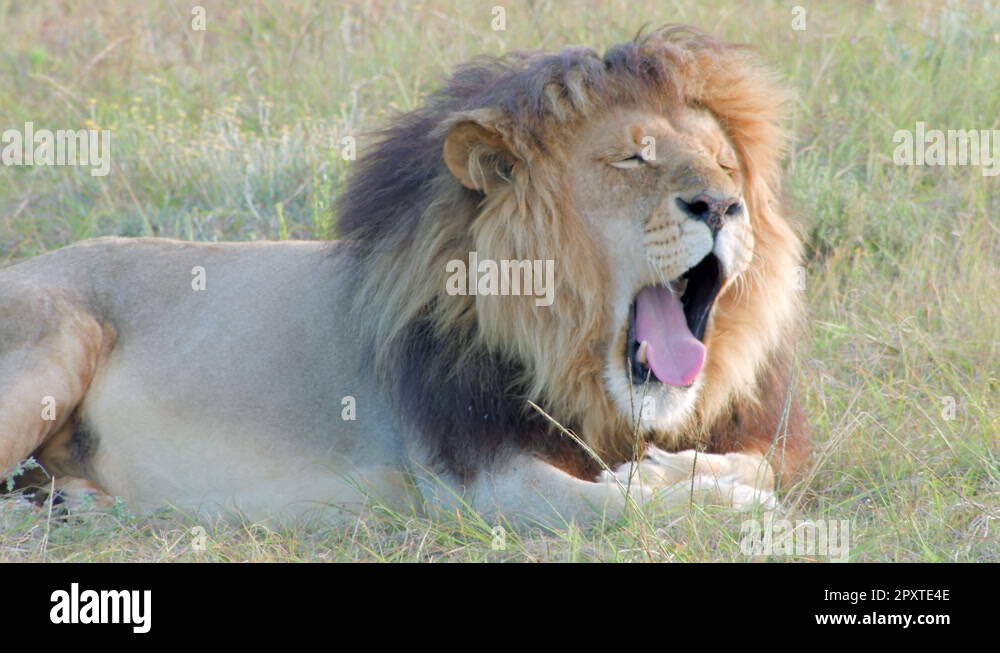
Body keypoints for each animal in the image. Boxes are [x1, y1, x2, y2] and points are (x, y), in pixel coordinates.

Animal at [0, 26, 808, 529]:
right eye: (633, 158)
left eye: (726, 164)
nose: (722, 205)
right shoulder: (473, 486)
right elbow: (616, 507)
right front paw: (723, 505)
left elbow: (757, 466)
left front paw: (677, 469)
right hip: (56, 337)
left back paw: (79, 501)